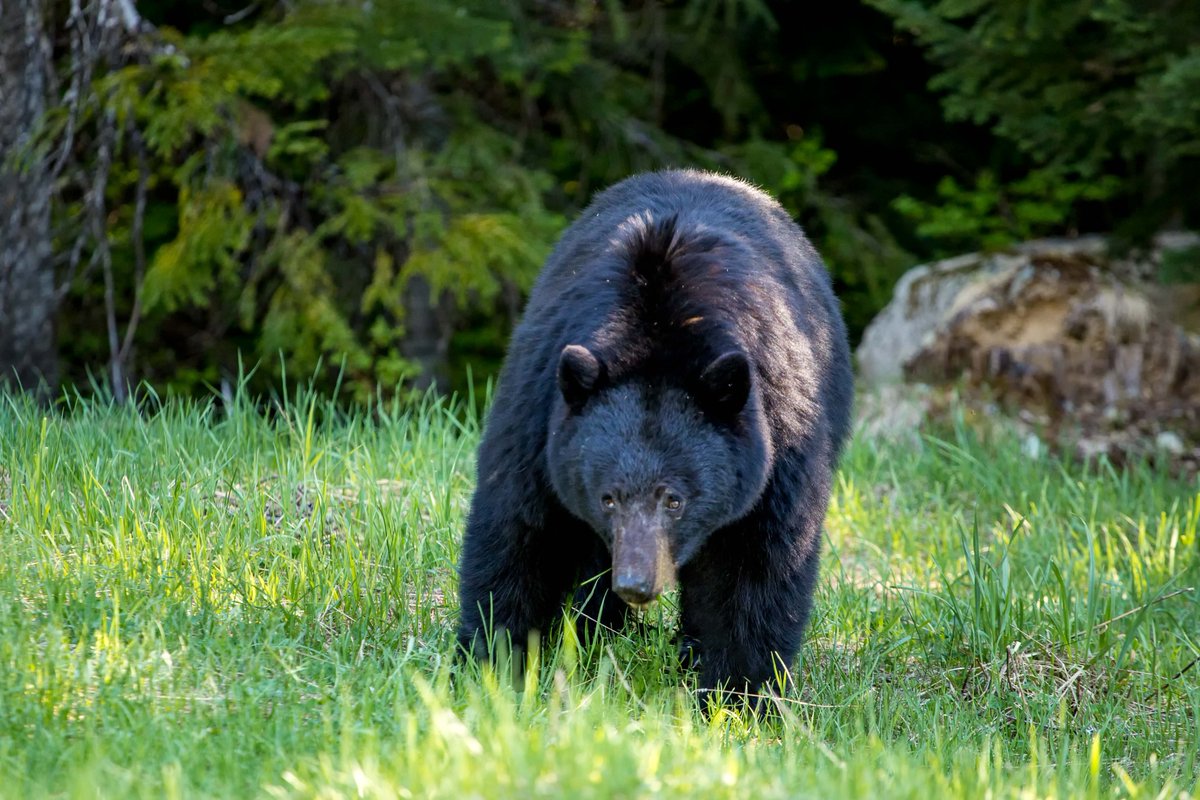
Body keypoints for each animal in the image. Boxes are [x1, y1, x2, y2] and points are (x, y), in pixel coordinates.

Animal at [456, 168, 853, 700]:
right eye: (607, 497)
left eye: (675, 500)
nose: (637, 583)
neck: (659, 326)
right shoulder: (537, 411)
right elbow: (519, 532)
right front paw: (492, 667)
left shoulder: (780, 432)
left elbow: (757, 566)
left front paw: (740, 696)